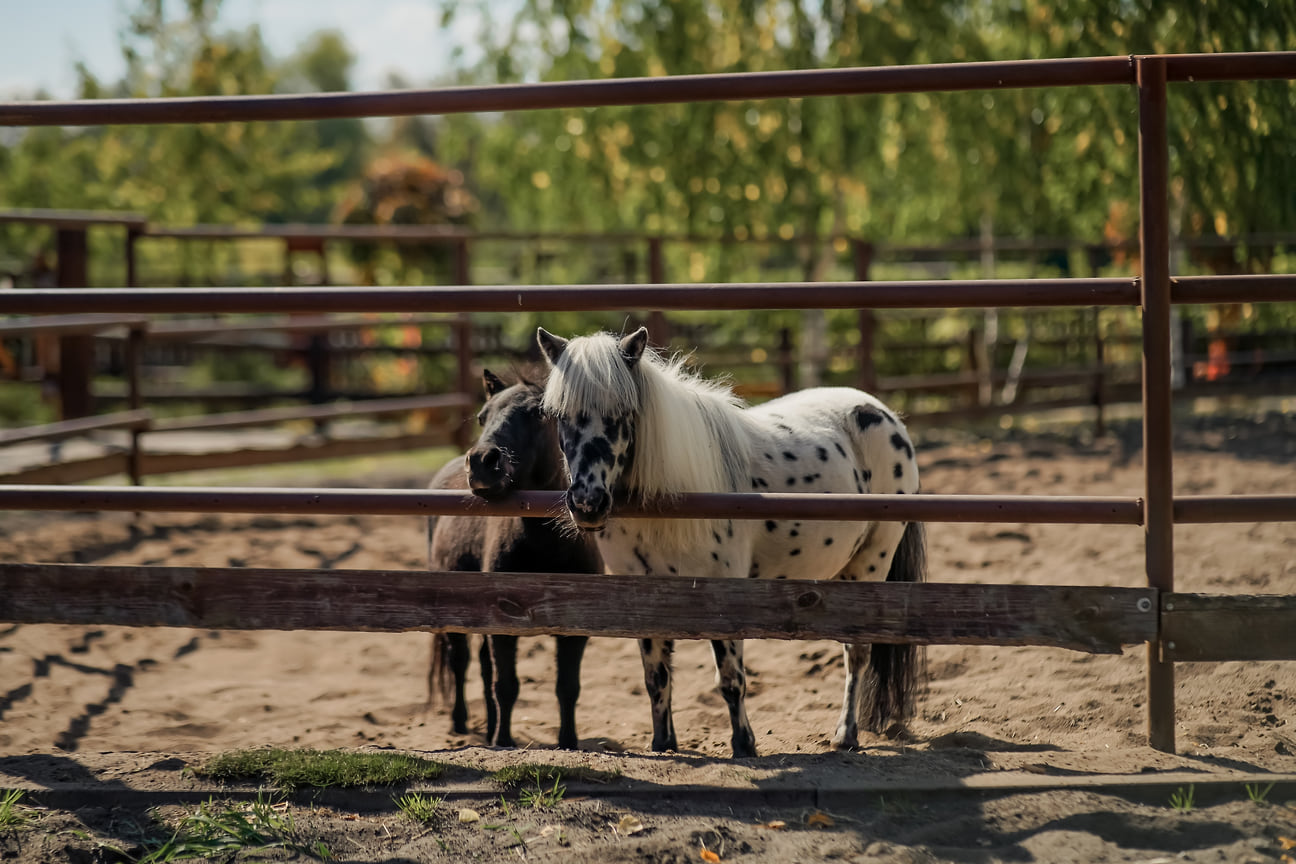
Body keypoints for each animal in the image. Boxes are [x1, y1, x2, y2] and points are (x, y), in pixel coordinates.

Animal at [430, 367, 601, 746]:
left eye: (538, 414)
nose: (482, 462)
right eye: (482, 417)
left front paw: (567, 742)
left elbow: (567, 688)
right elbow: (506, 686)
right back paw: (460, 723)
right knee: (460, 662)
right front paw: (504, 743)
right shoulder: (503, 627)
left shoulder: (575, 630)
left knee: (481, 665)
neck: (545, 547)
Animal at [533, 327, 922, 761]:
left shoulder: (723, 593)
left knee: (856, 653)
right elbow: (657, 677)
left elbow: (731, 679)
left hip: (870, 563)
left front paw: (744, 746)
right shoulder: (642, 596)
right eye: (559, 416)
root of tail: (879, 411)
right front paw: (663, 744)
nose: (588, 504)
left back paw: (845, 735)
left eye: (623, 415)